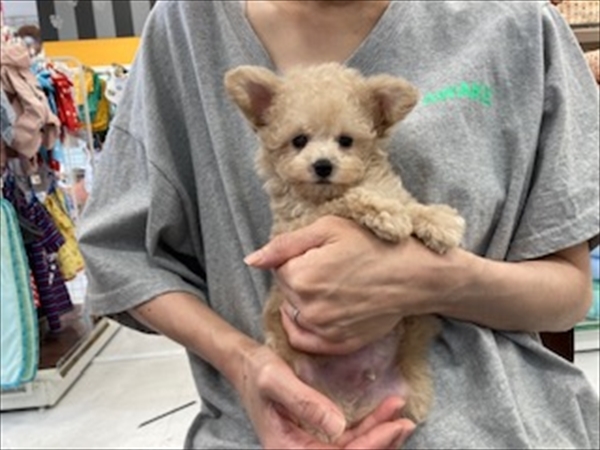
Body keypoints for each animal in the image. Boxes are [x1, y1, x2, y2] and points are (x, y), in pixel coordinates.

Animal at [225, 63, 465, 439]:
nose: (323, 165)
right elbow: (348, 202)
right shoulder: (300, 224)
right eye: (299, 141)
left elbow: (408, 204)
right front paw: (387, 214)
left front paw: (438, 220)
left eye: (346, 141)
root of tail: (352, 406)